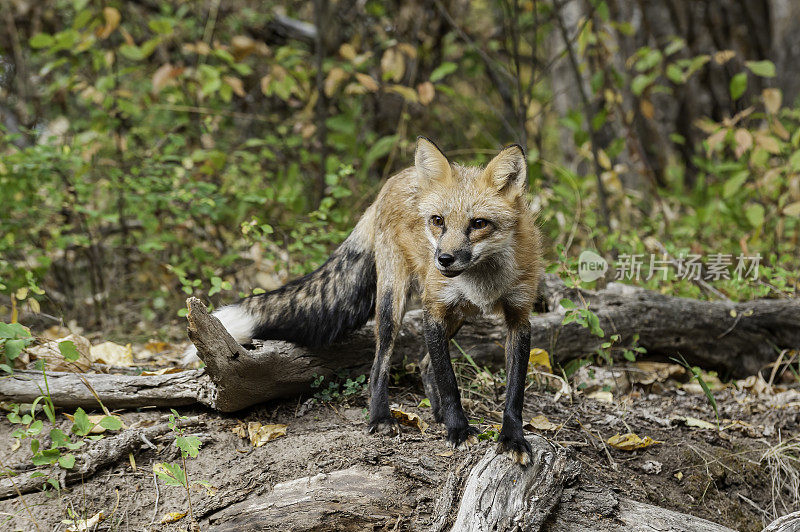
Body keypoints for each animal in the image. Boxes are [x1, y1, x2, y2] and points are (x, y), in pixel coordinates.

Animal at [184, 138, 540, 466]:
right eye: (438, 221)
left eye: (478, 223)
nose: (443, 260)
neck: (483, 283)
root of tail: (396, 178)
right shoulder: (434, 311)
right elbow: (449, 382)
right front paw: (459, 430)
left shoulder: (518, 317)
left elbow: (514, 393)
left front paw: (512, 439)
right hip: (393, 304)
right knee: (379, 366)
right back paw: (381, 418)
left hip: (454, 316)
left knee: (425, 363)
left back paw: (435, 414)